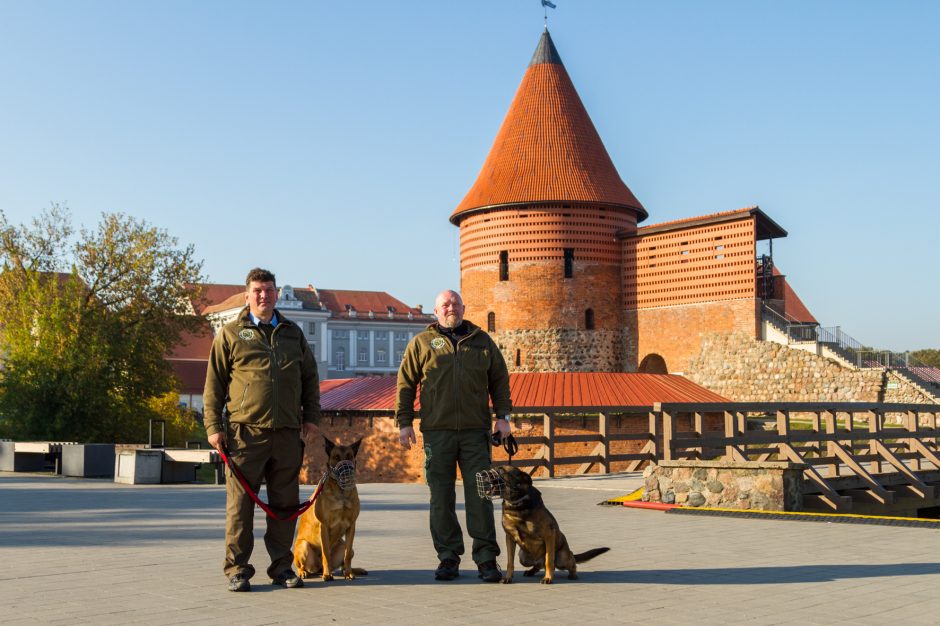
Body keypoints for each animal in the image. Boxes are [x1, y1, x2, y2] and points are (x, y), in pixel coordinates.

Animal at [294, 434, 368, 580]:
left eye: (349, 456)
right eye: (336, 457)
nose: (347, 470)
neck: (341, 491)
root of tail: (317, 569)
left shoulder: (351, 526)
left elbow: (347, 556)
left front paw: (349, 573)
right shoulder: (324, 526)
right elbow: (326, 554)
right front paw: (327, 575)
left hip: (343, 545)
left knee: (345, 559)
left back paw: (352, 570)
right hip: (303, 546)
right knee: (301, 565)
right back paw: (304, 573)